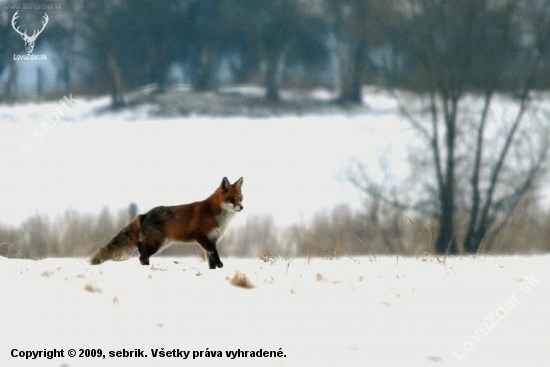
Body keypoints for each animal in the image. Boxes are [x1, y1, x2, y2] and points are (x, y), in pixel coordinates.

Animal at [90, 177, 244, 268]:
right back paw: (147, 266)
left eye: (241, 198)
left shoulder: (213, 239)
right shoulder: (201, 237)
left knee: (140, 248)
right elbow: (214, 252)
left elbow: (211, 258)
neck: (214, 213)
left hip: (160, 244)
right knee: (141, 255)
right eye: (234, 198)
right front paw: (220, 264)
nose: (242, 207)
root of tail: (144, 214)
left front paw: (213, 269)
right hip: (157, 244)